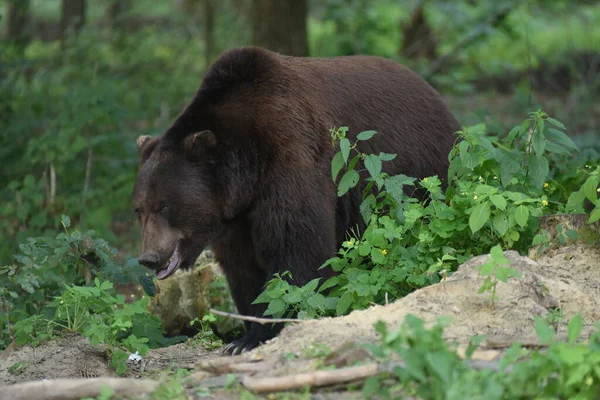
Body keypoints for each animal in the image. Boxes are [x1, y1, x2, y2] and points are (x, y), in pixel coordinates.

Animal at [131, 45, 460, 354]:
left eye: (165, 205)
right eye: (139, 209)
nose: (149, 257)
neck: (246, 172)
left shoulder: (291, 155)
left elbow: (296, 250)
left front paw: (255, 335)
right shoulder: (235, 218)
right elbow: (243, 269)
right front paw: (246, 331)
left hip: (419, 171)